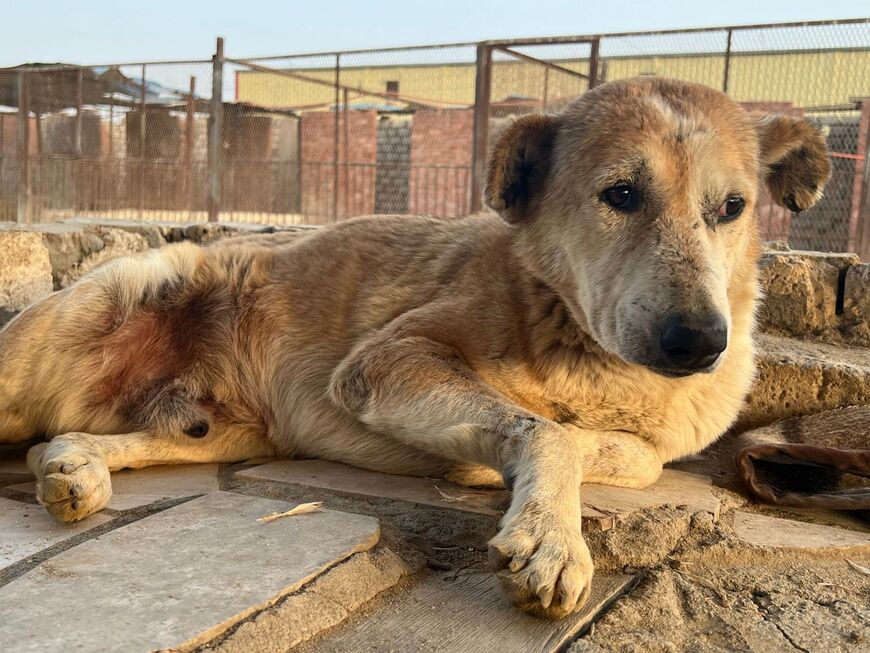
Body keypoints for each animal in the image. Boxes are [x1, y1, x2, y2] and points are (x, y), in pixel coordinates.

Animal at [0, 76, 832, 616]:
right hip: (94, 308)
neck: (586, 352)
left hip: (214, 433)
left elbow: (627, 451)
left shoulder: (644, 437)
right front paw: (550, 537)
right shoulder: (384, 361)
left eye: (732, 207)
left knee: (64, 439)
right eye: (620, 194)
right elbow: (549, 430)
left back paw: (74, 467)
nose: (700, 341)